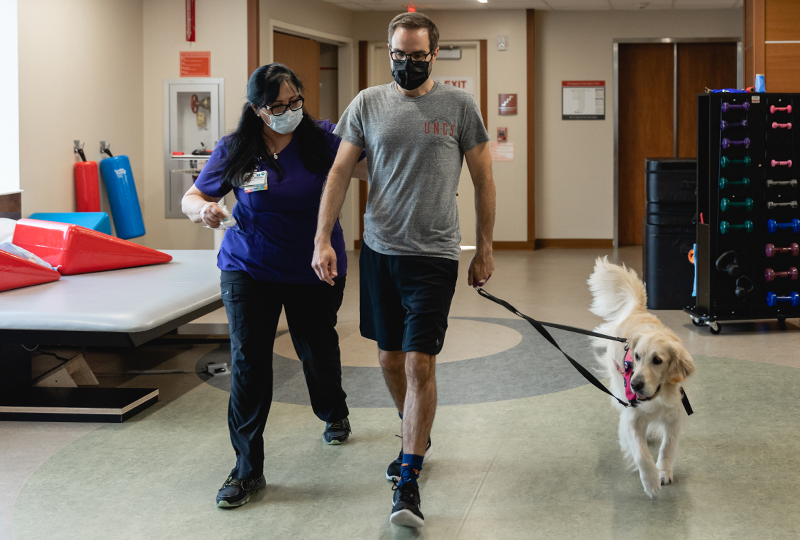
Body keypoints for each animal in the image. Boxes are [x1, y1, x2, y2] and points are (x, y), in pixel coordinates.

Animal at [588, 256, 692, 498]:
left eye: (657, 360)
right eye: (636, 357)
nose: (635, 385)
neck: (657, 397)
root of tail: (637, 309)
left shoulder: (674, 416)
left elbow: (667, 446)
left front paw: (664, 471)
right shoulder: (633, 416)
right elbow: (642, 454)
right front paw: (651, 481)